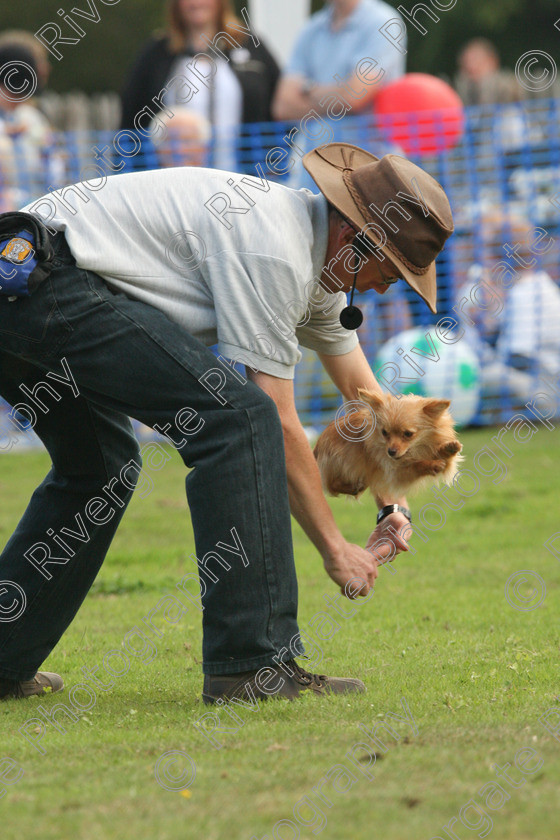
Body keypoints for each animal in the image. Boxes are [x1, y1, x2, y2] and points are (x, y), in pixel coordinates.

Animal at [316, 388, 464, 498]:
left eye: (408, 434)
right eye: (384, 432)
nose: (391, 452)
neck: (416, 450)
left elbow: (446, 459)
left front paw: (449, 449)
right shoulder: (394, 473)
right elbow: (415, 465)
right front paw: (432, 464)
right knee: (331, 485)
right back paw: (353, 487)